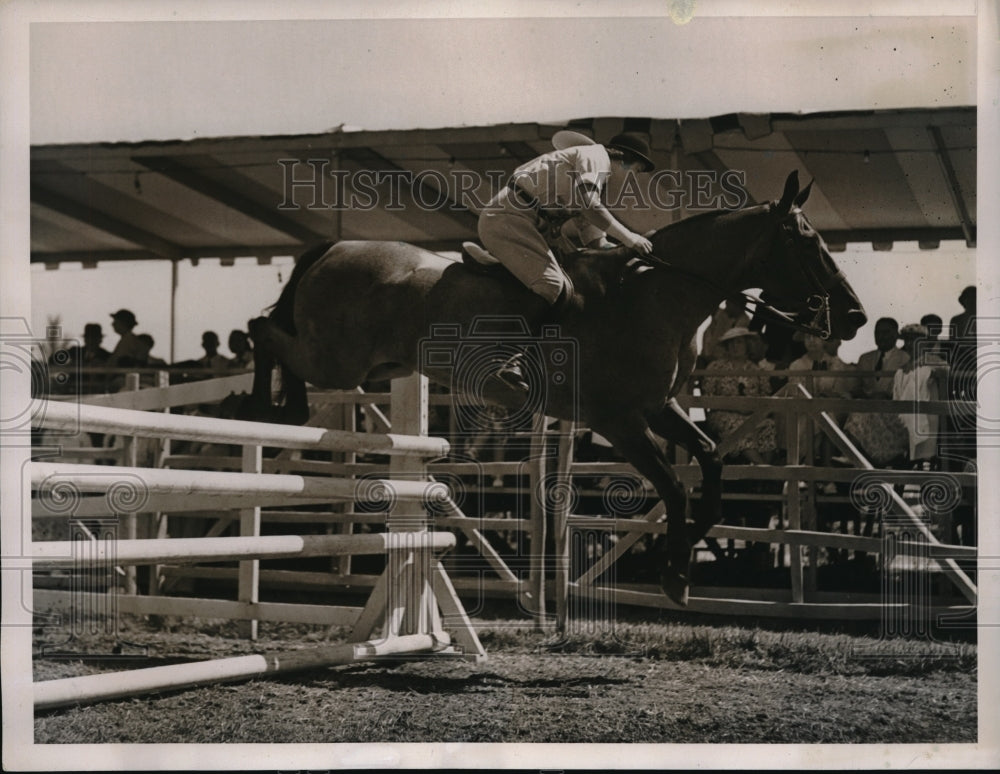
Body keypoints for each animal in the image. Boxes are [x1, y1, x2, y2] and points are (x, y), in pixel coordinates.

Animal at [244, 170, 868, 608]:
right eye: (807, 242)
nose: (855, 316)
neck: (655, 295)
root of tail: (335, 247)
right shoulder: (620, 420)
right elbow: (674, 488)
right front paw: (671, 573)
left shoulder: (655, 407)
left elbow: (710, 464)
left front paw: (680, 565)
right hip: (334, 360)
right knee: (262, 330)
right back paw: (270, 406)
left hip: (369, 367)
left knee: (270, 334)